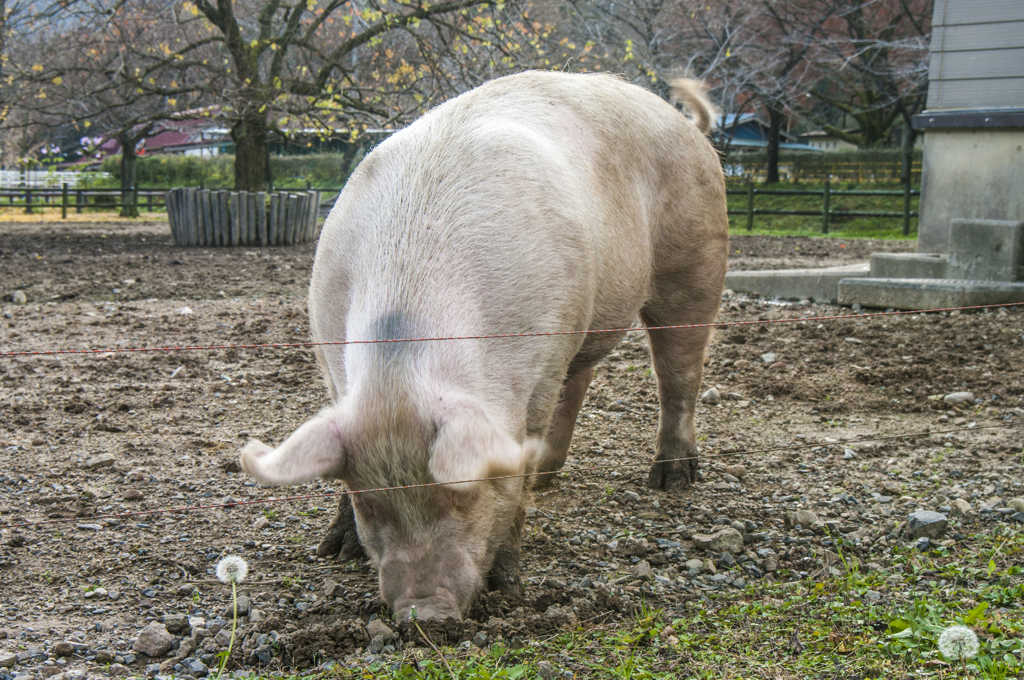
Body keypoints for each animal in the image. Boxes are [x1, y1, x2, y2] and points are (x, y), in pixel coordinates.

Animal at [241, 70, 729, 622]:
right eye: (369, 503)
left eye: (465, 494)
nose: (425, 612)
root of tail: (686, 124)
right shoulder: (328, 355)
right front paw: (333, 552)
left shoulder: (537, 365)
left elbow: (518, 466)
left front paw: (508, 589)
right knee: (581, 378)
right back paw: (550, 478)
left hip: (696, 256)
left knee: (679, 370)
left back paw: (671, 480)